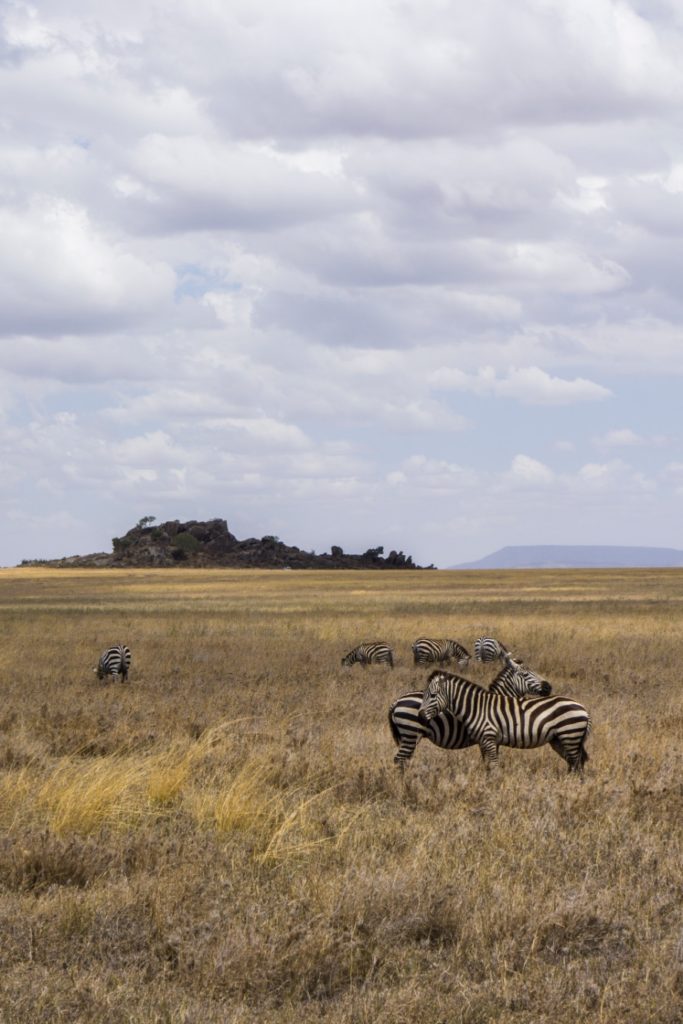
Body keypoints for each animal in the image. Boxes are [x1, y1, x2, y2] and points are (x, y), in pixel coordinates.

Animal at [389, 655, 548, 770]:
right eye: (526, 674)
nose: (548, 687)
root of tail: (396, 701)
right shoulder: (488, 738)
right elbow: (489, 762)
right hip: (410, 734)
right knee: (399, 760)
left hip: (408, 736)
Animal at [419, 671, 589, 774]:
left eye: (432, 695)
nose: (420, 715)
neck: (476, 707)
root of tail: (583, 708)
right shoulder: (485, 741)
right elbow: (487, 766)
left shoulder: (489, 738)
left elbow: (493, 766)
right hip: (559, 740)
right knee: (574, 763)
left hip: (570, 735)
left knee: (576, 763)